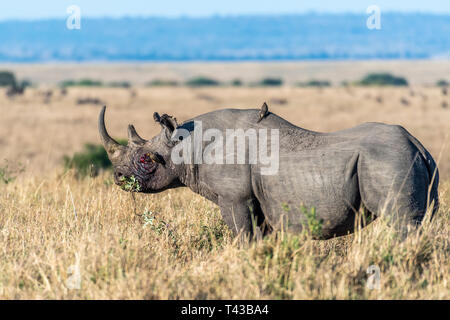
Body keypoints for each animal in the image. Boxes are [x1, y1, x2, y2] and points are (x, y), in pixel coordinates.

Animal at [98, 105, 440, 240]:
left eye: (146, 159)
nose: (118, 178)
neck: (188, 143)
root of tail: (420, 146)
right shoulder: (257, 200)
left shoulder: (234, 199)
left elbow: (242, 235)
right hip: (410, 160)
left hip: (388, 160)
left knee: (401, 225)